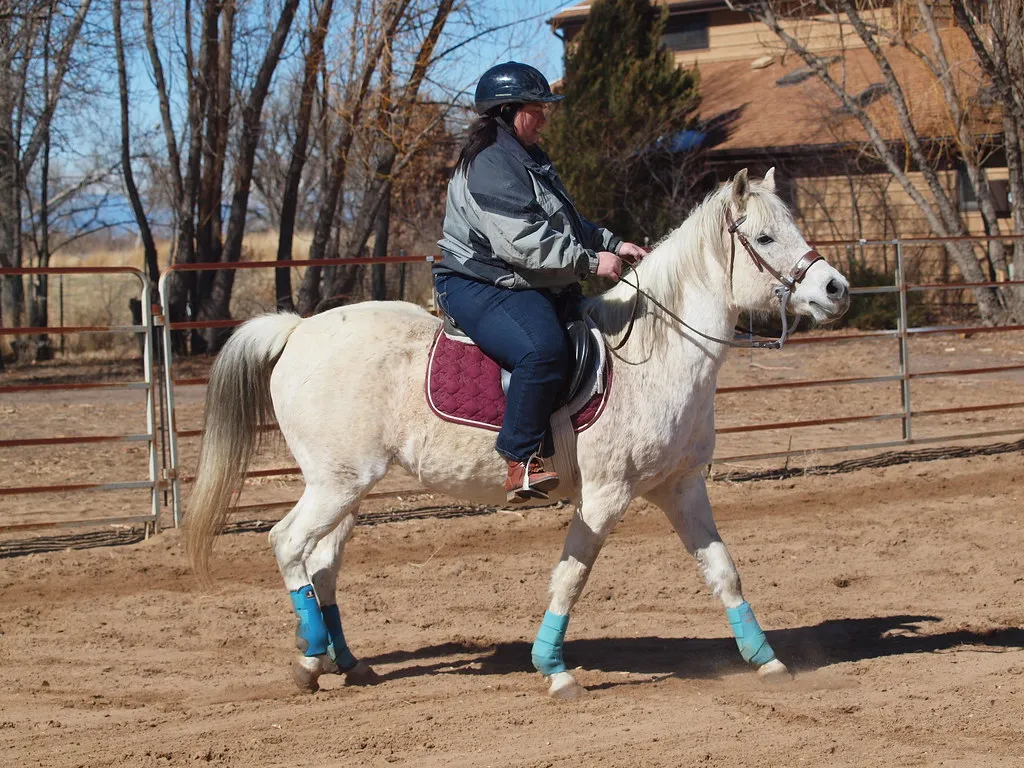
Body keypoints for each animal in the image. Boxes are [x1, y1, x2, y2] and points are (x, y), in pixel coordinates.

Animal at [186, 168, 850, 699]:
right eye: (763, 238)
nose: (835, 289)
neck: (657, 353)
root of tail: (298, 330)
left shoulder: (681, 488)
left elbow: (723, 571)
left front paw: (766, 661)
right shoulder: (605, 497)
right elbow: (571, 578)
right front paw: (554, 670)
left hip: (348, 488)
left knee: (321, 561)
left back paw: (344, 661)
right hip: (335, 484)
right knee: (287, 544)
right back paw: (307, 660)